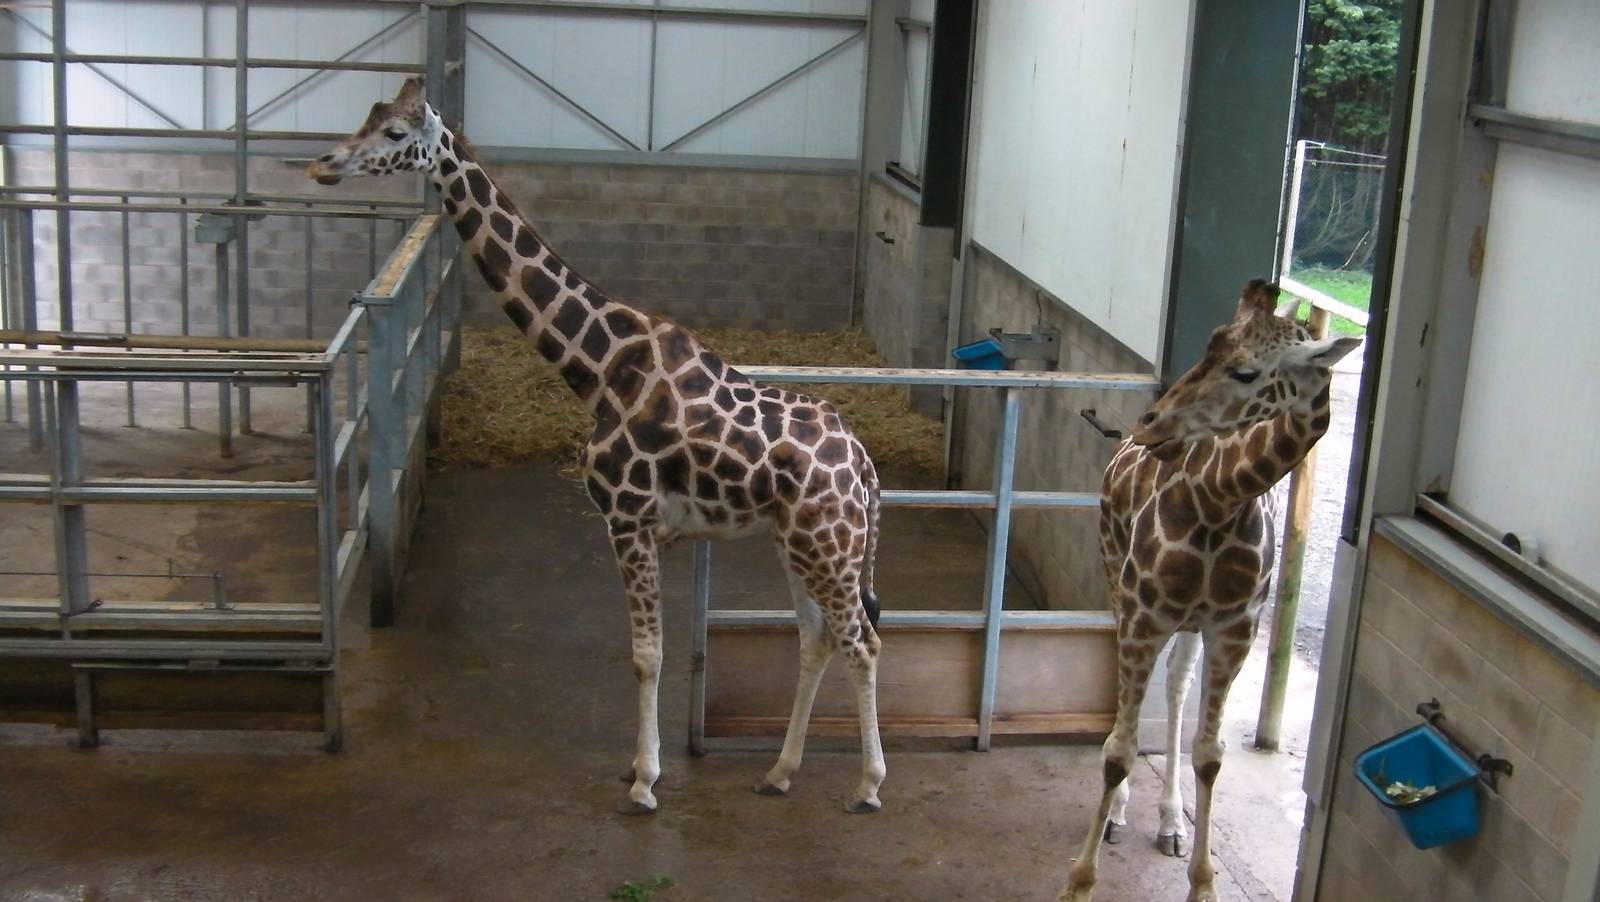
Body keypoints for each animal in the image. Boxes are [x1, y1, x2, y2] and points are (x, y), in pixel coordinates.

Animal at [309, 78, 887, 816]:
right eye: (370, 115)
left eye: (395, 134)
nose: (324, 163)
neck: (601, 367)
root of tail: (867, 470)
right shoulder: (643, 526)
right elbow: (650, 653)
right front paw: (641, 769)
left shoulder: (627, 519)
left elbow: (647, 655)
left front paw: (644, 781)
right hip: (800, 544)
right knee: (817, 639)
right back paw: (780, 772)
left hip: (830, 548)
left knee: (862, 642)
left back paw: (867, 786)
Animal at [1062, 280, 1359, 902]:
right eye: (1209, 346)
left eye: (1246, 372)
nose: (1152, 424)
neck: (1219, 501)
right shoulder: (1144, 617)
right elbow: (1118, 750)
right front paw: (1078, 881)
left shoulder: (1234, 629)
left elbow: (1210, 755)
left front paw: (1203, 882)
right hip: (1116, 578)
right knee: (1130, 713)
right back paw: (1120, 815)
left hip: (1191, 623)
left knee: (1177, 688)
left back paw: (1171, 822)